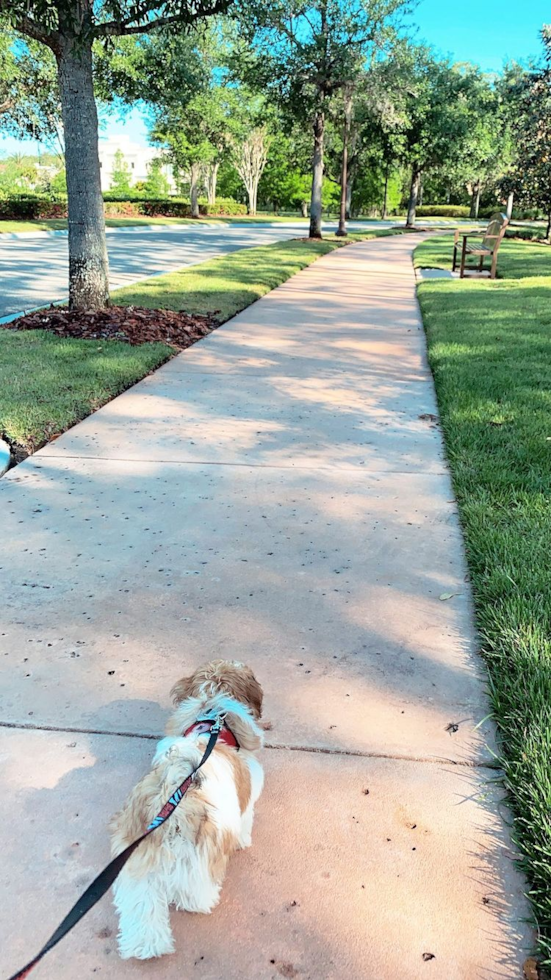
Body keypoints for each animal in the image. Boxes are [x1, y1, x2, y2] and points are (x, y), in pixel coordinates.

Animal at [110, 660, 266, 956]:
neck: (213, 719)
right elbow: (246, 818)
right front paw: (243, 841)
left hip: (136, 857)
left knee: (141, 901)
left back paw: (146, 945)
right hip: (201, 853)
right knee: (194, 886)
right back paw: (201, 902)